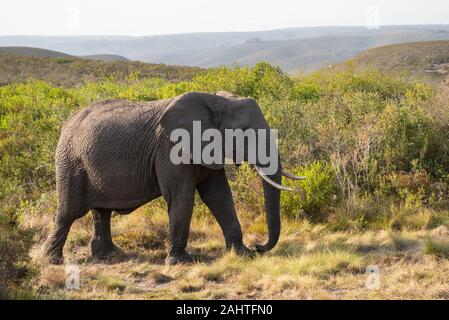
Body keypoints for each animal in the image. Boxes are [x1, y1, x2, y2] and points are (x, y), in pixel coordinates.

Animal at [42, 90, 302, 264]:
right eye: (244, 133)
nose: (258, 246)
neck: (216, 101)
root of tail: (66, 124)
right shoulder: (170, 148)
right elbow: (182, 197)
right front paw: (180, 262)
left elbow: (219, 197)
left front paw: (242, 254)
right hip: (70, 162)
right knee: (69, 212)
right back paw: (51, 260)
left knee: (101, 212)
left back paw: (109, 255)